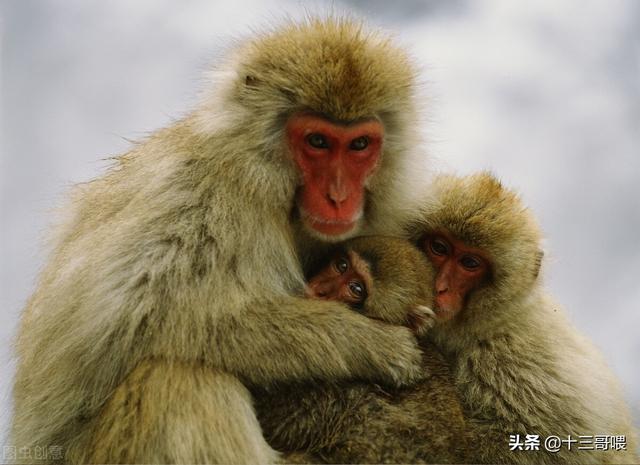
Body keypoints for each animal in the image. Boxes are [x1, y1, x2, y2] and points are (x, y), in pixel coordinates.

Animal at [10, 18, 432, 464]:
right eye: (318, 142)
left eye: (359, 145)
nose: (338, 196)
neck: (263, 181)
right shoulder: (202, 195)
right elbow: (140, 314)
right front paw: (370, 343)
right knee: (174, 380)